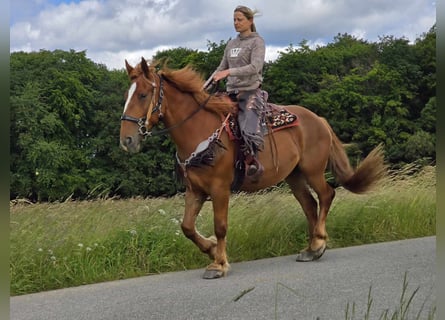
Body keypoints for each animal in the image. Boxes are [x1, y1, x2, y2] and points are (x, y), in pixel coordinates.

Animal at [119, 57, 386, 278]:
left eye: (143, 94)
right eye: (127, 95)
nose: (127, 140)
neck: (199, 131)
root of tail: (318, 119)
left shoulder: (219, 189)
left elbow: (220, 225)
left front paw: (219, 264)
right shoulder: (195, 190)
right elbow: (187, 227)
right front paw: (211, 249)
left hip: (312, 170)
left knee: (326, 195)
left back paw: (319, 243)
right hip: (294, 176)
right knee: (310, 205)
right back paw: (310, 249)